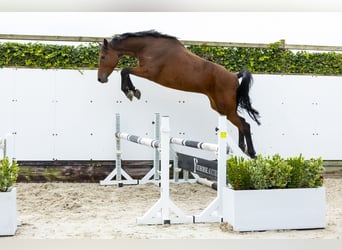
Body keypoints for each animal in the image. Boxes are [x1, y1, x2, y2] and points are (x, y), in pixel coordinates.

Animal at [97, 29, 260, 158]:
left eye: (103, 57)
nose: (100, 79)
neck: (148, 47)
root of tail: (234, 76)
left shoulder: (148, 72)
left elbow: (125, 70)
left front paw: (130, 92)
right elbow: (126, 71)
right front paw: (133, 91)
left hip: (226, 107)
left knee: (245, 125)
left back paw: (251, 153)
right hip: (220, 108)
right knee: (241, 123)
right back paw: (242, 149)